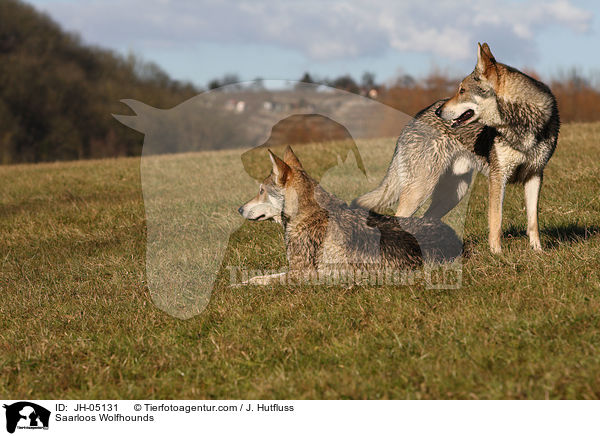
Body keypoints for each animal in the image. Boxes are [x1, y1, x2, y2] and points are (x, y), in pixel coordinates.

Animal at [237, 146, 462, 286]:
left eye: (261, 190)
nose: (239, 209)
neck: (308, 214)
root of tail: (456, 242)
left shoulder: (301, 273)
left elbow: (259, 280)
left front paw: (241, 285)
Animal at [356, 42, 556, 254]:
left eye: (462, 91)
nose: (439, 111)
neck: (521, 124)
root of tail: (415, 118)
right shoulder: (498, 178)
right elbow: (496, 221)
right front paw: (497, 254)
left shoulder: (535, 175)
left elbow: (533, 221)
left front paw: (538, 251)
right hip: (421, 190)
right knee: (400, 219)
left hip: (454, 193)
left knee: (424, 219)